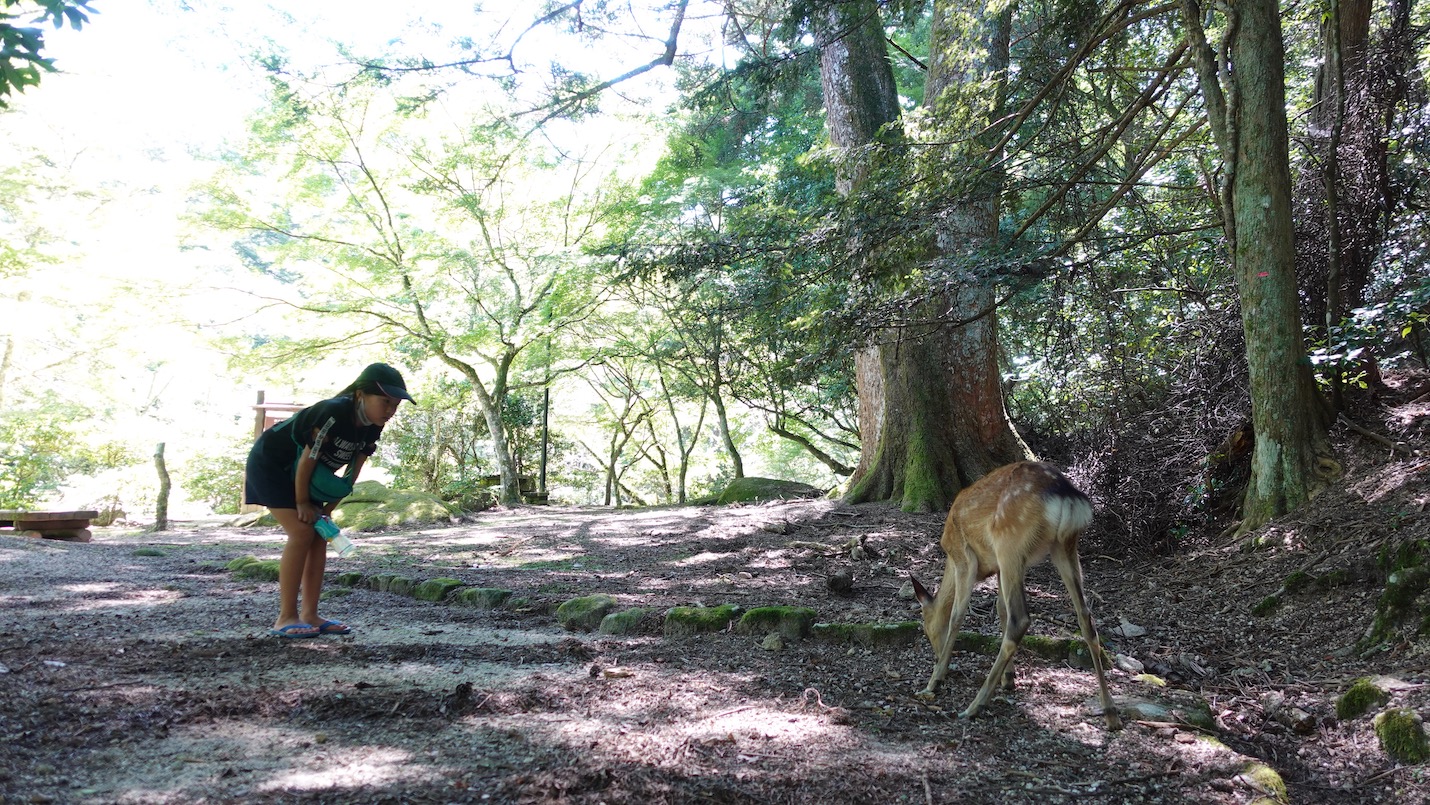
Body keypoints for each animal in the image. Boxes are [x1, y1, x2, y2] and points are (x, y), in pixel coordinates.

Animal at [909, 461, 1122, 730]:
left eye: (927, 629)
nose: (936, 656)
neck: (949, 557)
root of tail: (1065, 494)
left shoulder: (964, 558)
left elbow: (958, 615)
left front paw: (935, 679)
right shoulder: (998, 568)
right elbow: (1000, 608)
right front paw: (1008, 678)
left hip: (1009, 543)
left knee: (1020, 619)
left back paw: (974, 706)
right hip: (1063, 546)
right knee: (1086, 618)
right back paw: (1111, 713)